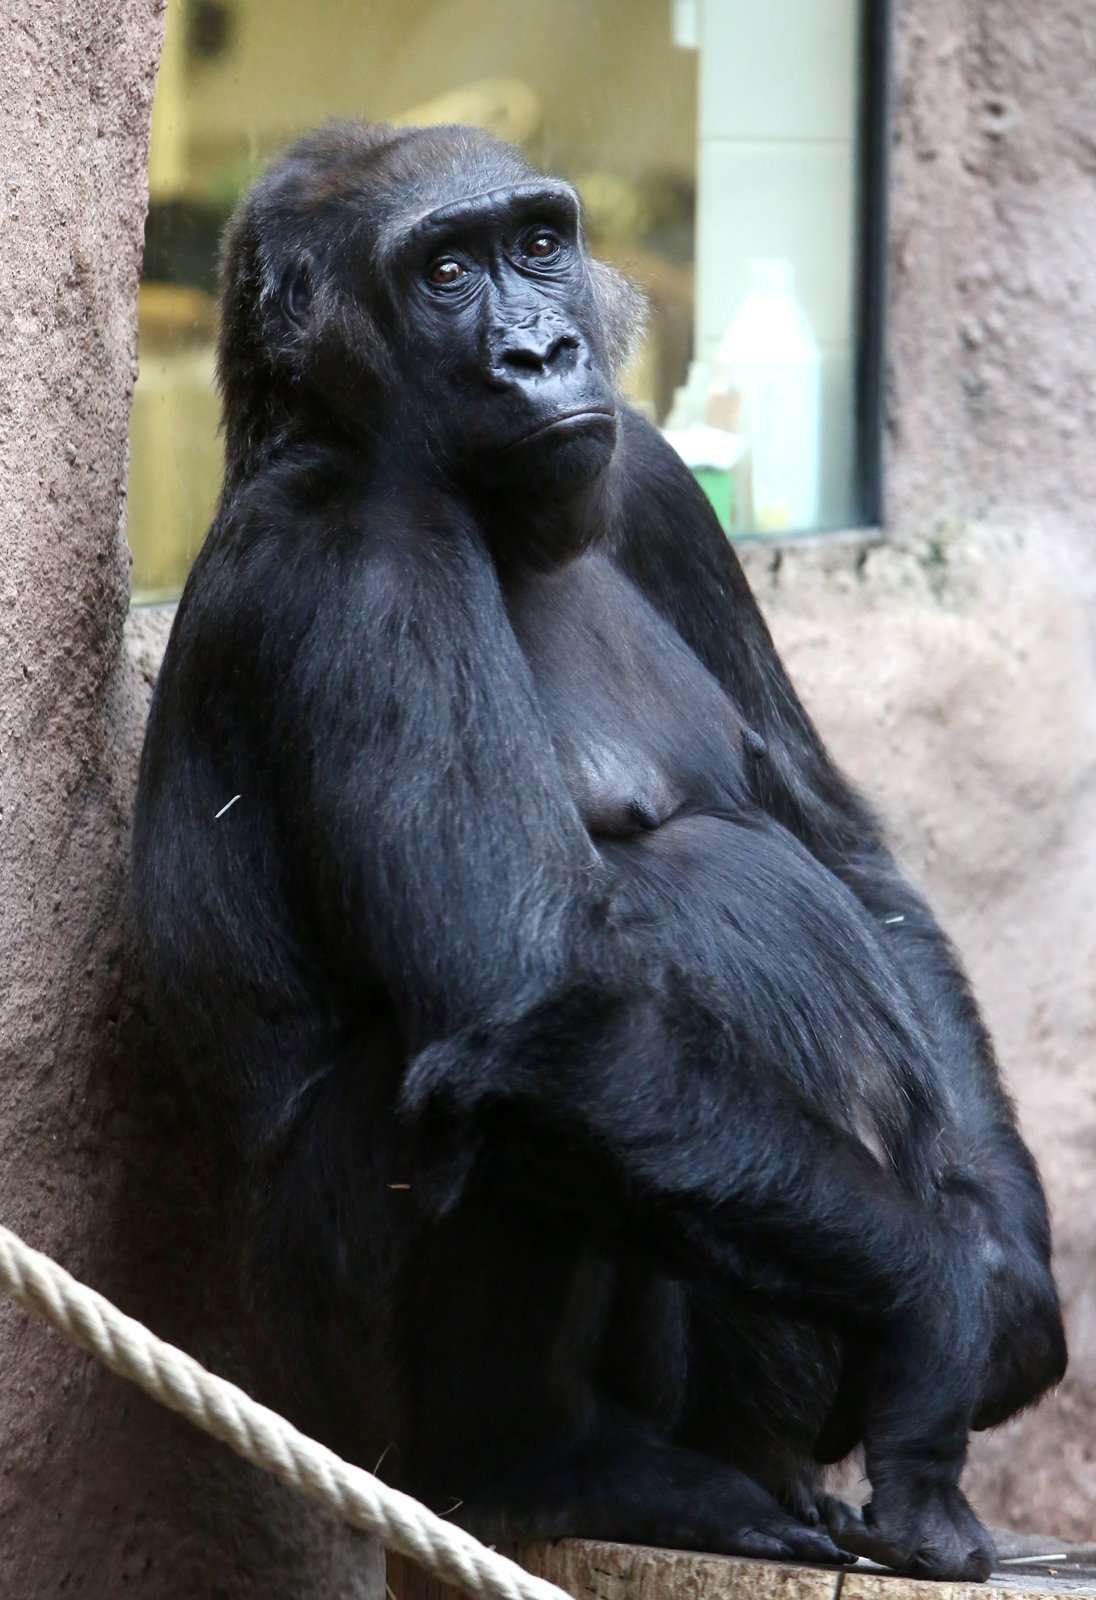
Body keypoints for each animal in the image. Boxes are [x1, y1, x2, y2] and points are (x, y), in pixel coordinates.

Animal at [128, 121, 1062, 1574]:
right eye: (445, 272)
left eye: (538, 243)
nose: (541, 350)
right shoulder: (358, 558)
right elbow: (542, 996)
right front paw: (935, 1312)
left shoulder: (653, 477)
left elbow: (832, 838)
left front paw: (1007, 1277)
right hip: (345, 1416)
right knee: (545, 1060)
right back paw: (556, 1466)